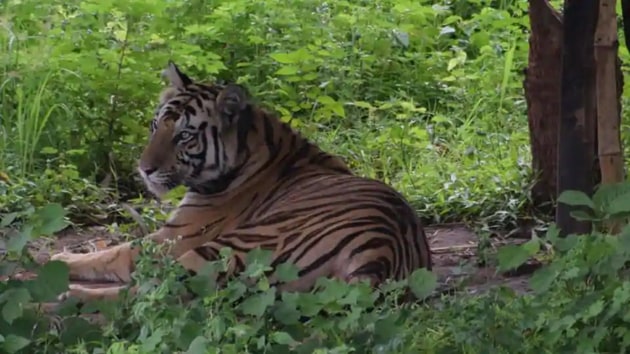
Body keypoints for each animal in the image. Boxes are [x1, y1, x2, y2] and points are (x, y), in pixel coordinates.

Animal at [49, 60, 434, 302]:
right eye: (155, 126)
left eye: (184, 136)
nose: (143, 169)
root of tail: (379, 251)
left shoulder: (171, 240)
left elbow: (113, 254)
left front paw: (57, 258)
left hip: (226, 249)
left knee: (151, 297)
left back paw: (73, 296)